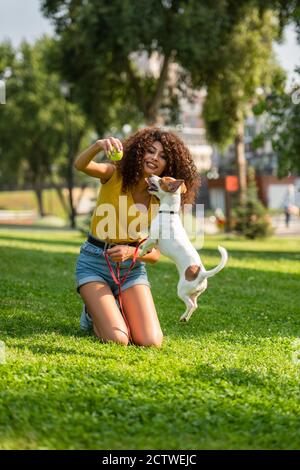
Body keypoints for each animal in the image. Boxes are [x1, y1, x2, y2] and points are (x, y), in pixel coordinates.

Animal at [138, 175, 227, 324]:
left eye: (161, 180)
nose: (150, 175)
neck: (169, 212)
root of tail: (202, 274)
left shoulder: (152, 238)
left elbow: (145, 245)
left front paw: (140, 252)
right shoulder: (152, 241)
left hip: (182, 291)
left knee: (191, 305)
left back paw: (184, 317)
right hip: (194, 293)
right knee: (195, 305)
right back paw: (184, 317)